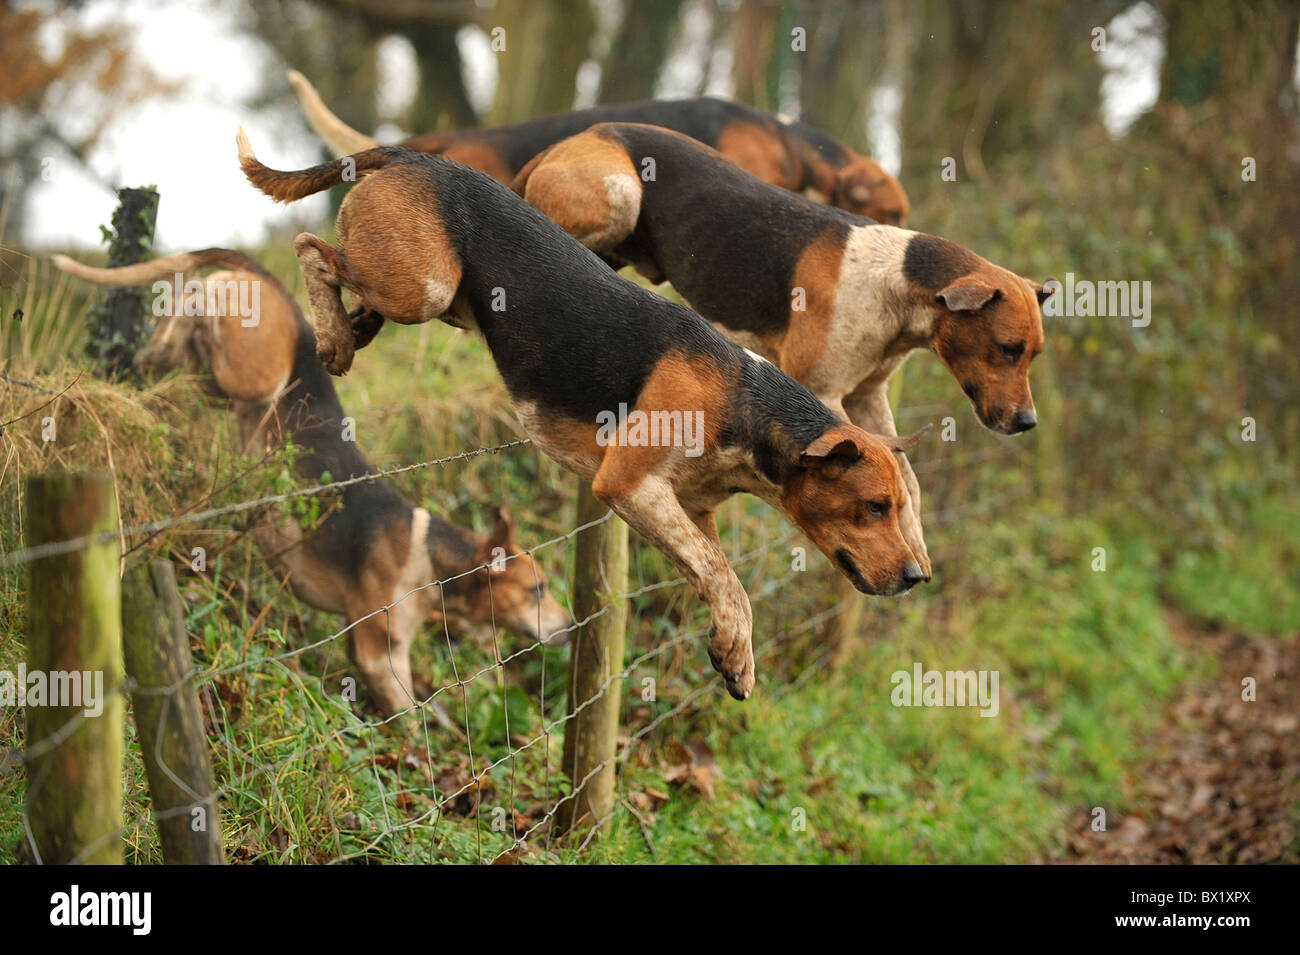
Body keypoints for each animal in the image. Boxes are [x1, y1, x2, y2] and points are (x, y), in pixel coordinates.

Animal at [52, 248, 569, 717]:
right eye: (538, 590)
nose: (570, 625)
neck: (430, 554)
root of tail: (284, 296)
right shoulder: (380, 654)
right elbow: (409, 715)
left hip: (211, 382)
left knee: (178, 340)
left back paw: (163, 342)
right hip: (252, 371)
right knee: (208, 306)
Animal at [233, 132, 925, 701]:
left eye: (899, 507)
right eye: (874, 508)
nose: (918, 576)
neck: (749, 402)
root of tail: (414, 157)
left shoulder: (690, 509)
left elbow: (716, 576)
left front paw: (734, 654)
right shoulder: (628, 484)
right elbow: (728, 580)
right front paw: (736, 653)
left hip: (443, 296)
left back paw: (354, 327)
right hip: (425, 285)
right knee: (312, 248)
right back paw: (334, 339)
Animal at [506, 123, 1055, 579]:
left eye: (1033, 355)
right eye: (1008, 349)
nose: (1028, 423)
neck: (893, 280)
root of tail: (579, 135)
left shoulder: (868, 395)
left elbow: (907, 477)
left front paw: (913, 542)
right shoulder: (825, 395)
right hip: (620, 193)